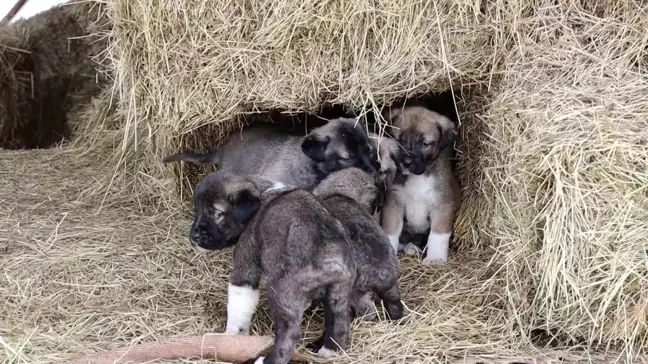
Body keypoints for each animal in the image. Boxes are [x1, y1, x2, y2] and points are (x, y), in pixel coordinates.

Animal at [380, 106, 460, 264]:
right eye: (398, 140)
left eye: (425, 144)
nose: (406, 162)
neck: (417, 178)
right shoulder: (393, 202)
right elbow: (390, 230)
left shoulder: (443, 204)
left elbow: (438, 234)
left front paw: (435, 258)